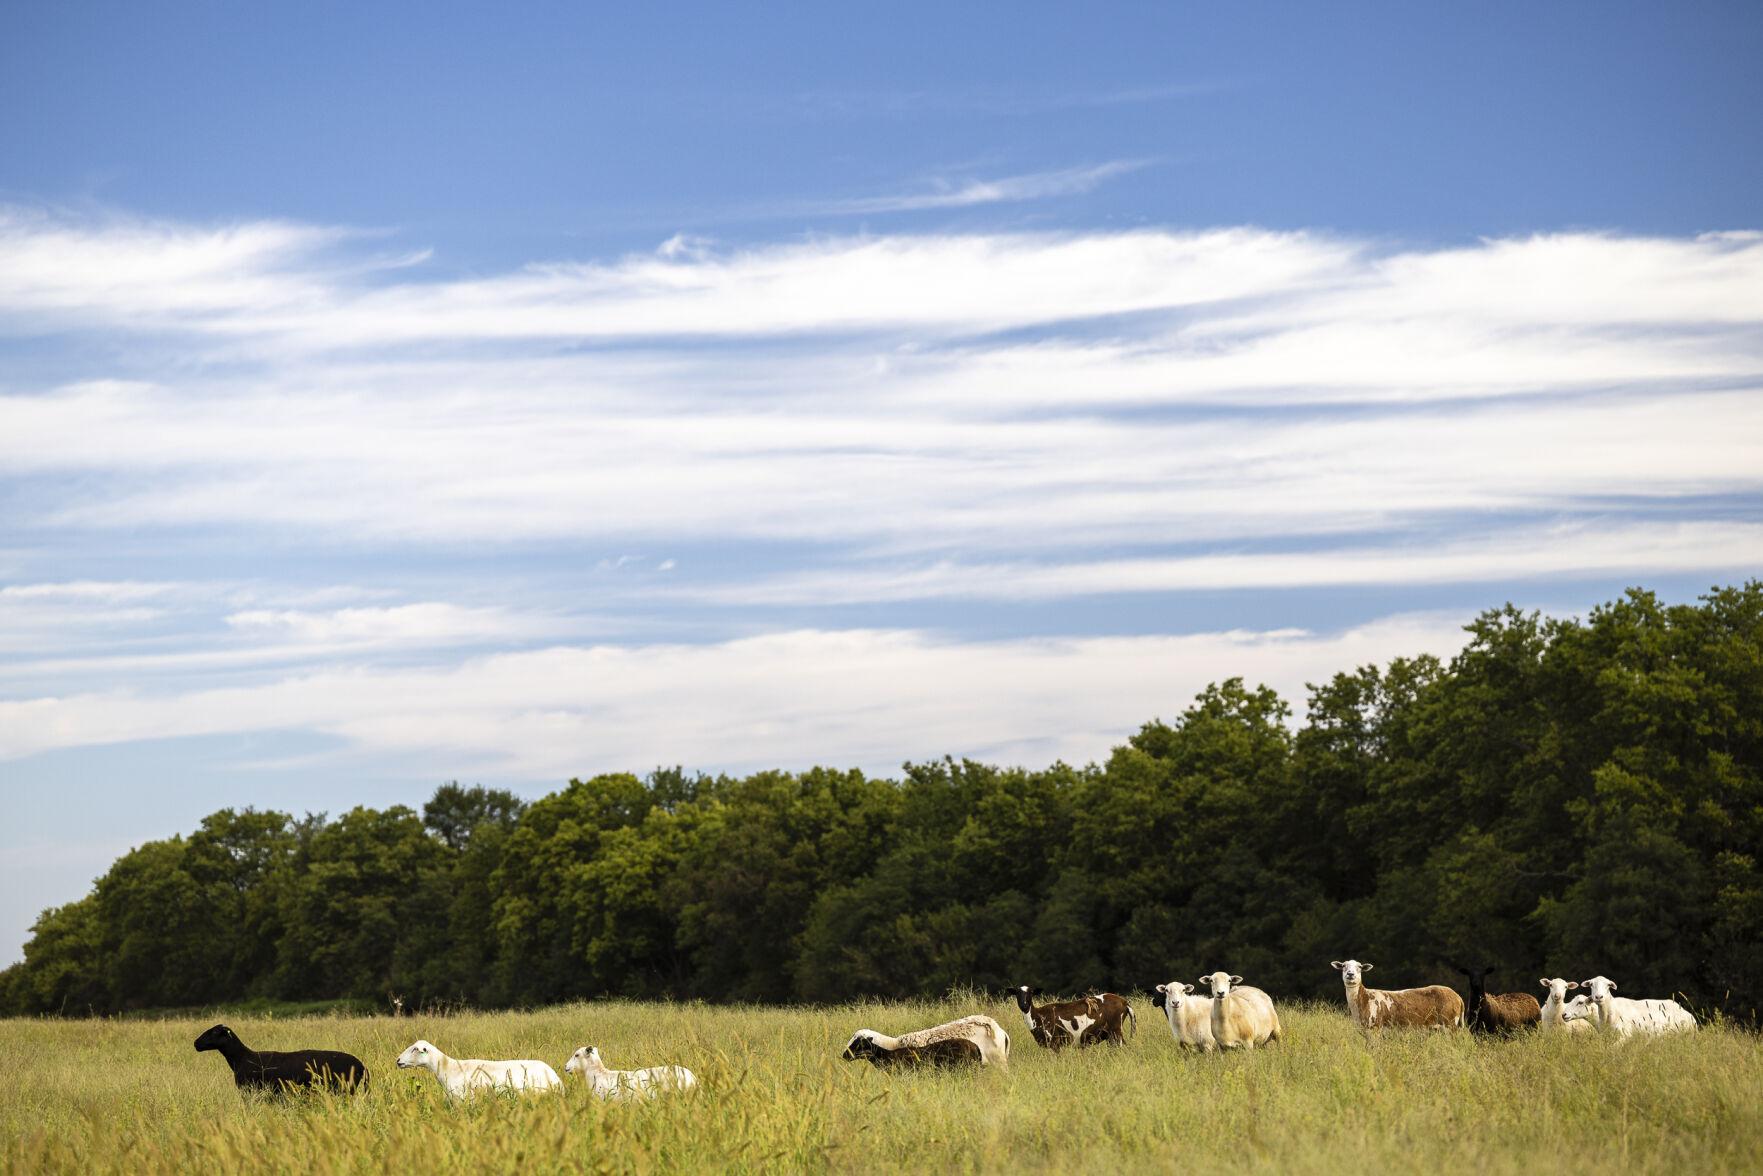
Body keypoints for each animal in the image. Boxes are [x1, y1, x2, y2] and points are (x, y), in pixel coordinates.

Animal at [193, 1022, 368, 1100]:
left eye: (214, 1032)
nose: (195, 1043)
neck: (240, 1057)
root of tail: (362, 1066)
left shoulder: (249, 1091)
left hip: (345, 1090)